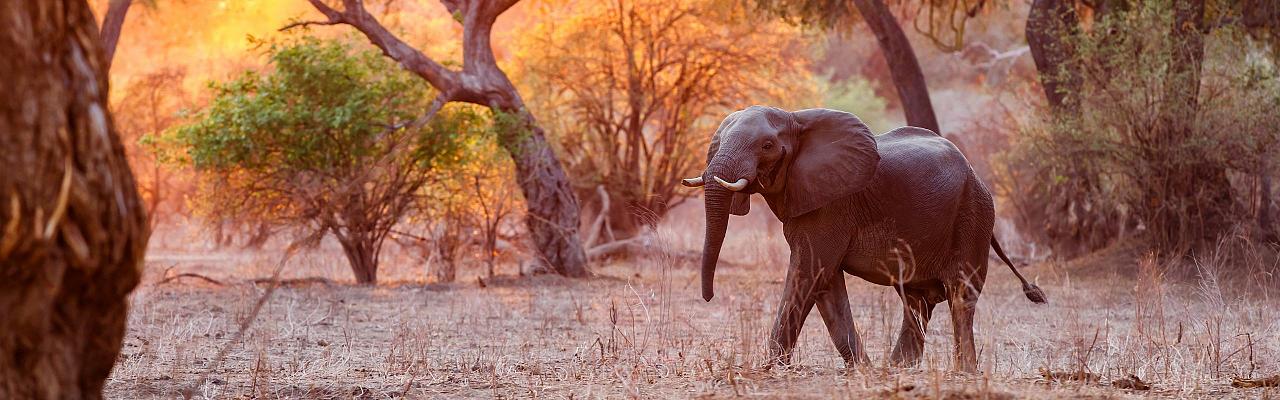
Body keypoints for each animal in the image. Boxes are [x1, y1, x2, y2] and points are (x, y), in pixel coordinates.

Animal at [686, 105, 1044, 371]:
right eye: (718, 142)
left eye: (767, 146)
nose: (709, 296)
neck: (796, 117)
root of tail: (975, 173)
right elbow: (825, 283)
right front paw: (863, 371)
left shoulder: (832, 206)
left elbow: (809, 273)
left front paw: (771, 369)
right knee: (915, 299)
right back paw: (898, 369)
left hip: (973, 216)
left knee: (960, 296)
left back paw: (963, 371)